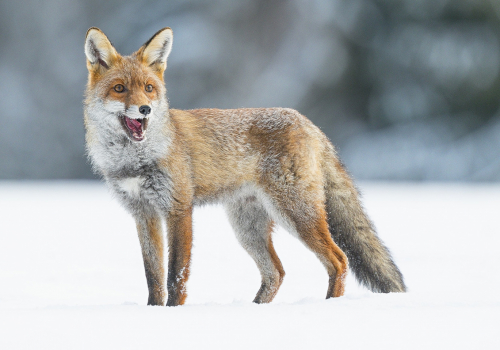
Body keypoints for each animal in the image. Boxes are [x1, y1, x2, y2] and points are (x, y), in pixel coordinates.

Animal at [81, 27, 402, 306]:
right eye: (120, 89)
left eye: (149, 88)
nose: (145, 109)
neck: (135, 160)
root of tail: (309, 123)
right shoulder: (143, 214)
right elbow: (154, 278)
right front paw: (153, 312)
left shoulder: (178, 209)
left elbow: (176, 276)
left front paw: (173, 312)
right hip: (248, 227)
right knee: (276, 272)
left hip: (296, 213)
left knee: (338, 260)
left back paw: (330, 305)